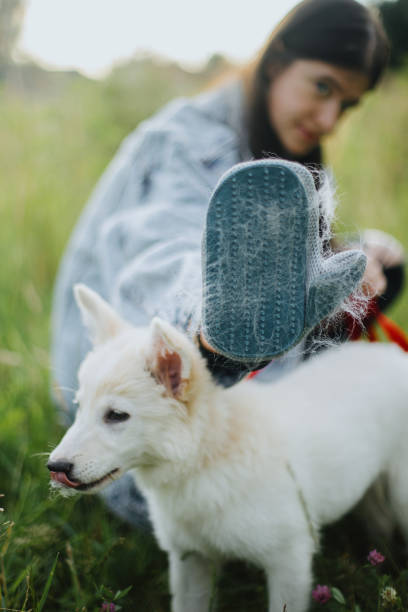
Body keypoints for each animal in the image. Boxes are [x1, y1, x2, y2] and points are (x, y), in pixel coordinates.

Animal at [48, 286, 408, 612]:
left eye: (116, 415)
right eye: (80, 408)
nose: (55, 467)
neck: (206, 455)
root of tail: (394, 356)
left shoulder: (289, 559)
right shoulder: (190, 561)